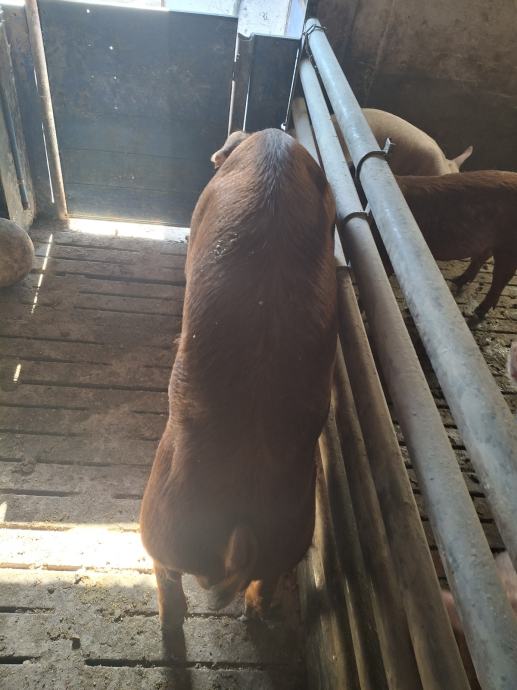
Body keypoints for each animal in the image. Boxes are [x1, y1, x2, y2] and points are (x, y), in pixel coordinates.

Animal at [140, 129, 338, 639]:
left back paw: (169, 628)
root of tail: (237, 530)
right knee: (263, 586)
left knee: (169, 586)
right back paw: (254, 617)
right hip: (291, 534)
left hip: (159, 520)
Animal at [371, 171, 517, 320]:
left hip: (508, 245)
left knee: (503, 276)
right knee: (483, 257)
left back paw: (478, 311)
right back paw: (457, 280)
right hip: (490, 243)